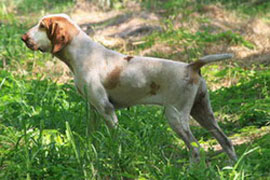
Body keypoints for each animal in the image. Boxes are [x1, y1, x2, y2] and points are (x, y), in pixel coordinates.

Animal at [20, 13, 236, 162]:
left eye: (42, 26)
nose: (23, 38)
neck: (81, 54)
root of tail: (191, 66)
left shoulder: (106, 109)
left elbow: (116, 139)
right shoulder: (93, 108)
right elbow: (92, 136)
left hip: (176, 117)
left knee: (196, 149)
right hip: (202, 113)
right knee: (226, 142)